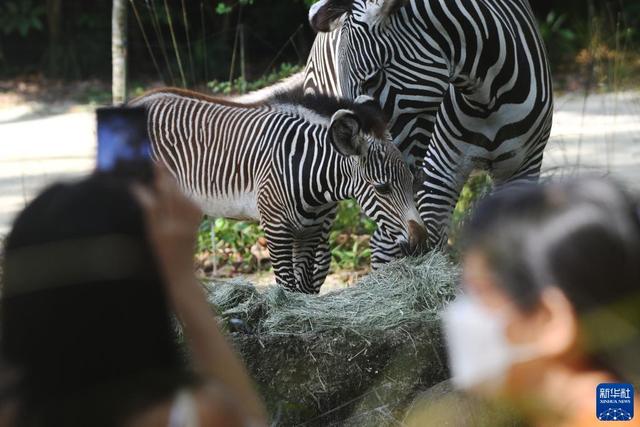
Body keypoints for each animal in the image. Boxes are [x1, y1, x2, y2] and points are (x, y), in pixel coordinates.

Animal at [131, 88, 424, 292]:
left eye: (412, 181)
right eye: (382, 188)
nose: (422, 242)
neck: (307, 170)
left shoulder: (310, 231)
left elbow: (303, 288)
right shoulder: (276, 228)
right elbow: (286, 285)